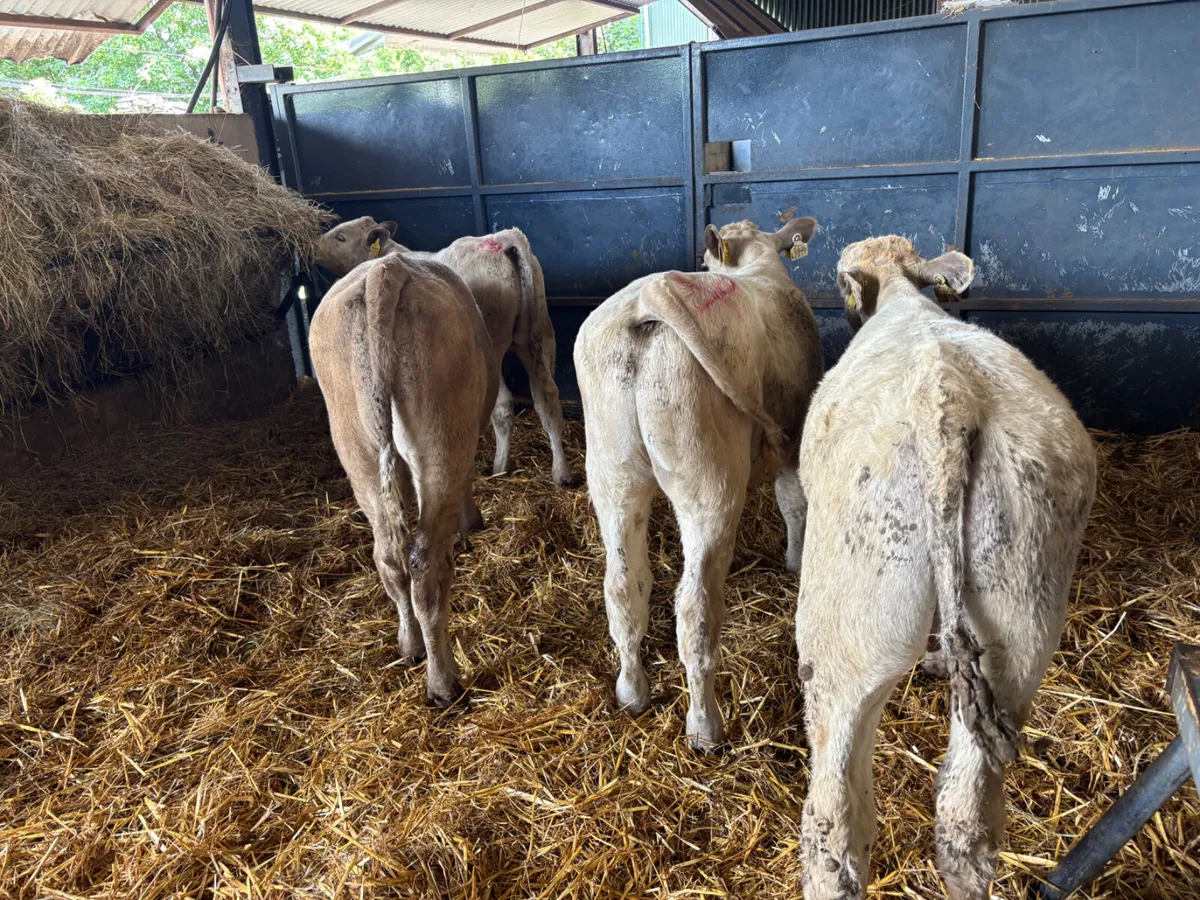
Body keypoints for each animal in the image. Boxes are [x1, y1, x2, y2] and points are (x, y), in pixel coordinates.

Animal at [307, 247, 498, 707]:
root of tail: (385, 269)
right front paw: (471, 524)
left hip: (357, 450)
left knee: (391, 558)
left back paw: (410, 646)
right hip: (443, 442)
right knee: (426, 567)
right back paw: (443, 682)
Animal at [316, 217, 578, 488]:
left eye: (340, 237)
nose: (314, 246)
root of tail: (503, 238)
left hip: (494, 347)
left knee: (504, 404)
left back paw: (500, 466)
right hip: (537, 335)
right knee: (547, 399)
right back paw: (562, 473)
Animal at [574, 217, 824, 751]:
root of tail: (647, 302)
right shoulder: (793, 436)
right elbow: (793, 502)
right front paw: (795, 561)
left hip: (611, 474)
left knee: (623, 586)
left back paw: (632, 693)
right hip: (710, 484)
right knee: (695, 610)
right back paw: (706, 727)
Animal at [794, 236, 1096, 900]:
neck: (903, 301)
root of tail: (947, 401)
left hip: (846, 629)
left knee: (835, 822)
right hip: (1020, 615)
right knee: (966, 821)